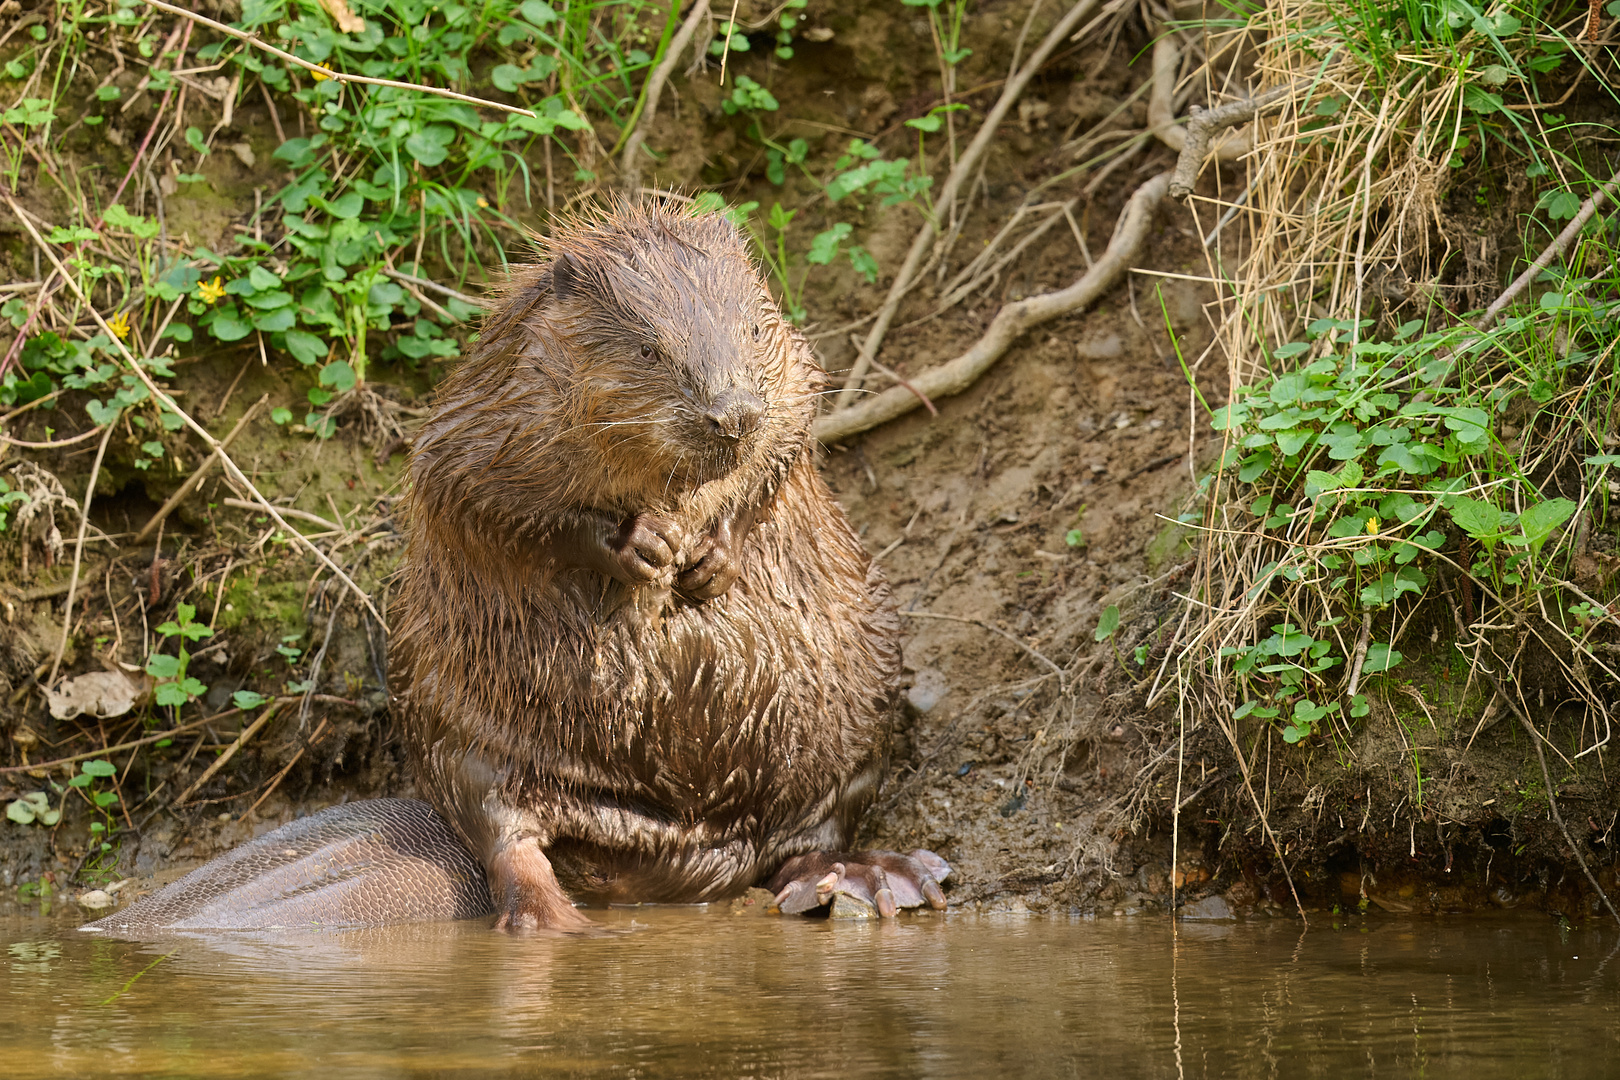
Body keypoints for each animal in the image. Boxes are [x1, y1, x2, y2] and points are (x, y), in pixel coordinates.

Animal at [393, 202, 946, 932]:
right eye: (649, 348)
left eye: (751, 328)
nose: (732, 415)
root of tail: (690, 854)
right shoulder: (489, 410)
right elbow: (473, 492)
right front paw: (646, 547)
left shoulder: (791, 368)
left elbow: (792, 429)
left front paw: (710, 558)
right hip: (452, 720)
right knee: (502, 826)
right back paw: (547, 918)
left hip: (862, 702)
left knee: (817, 829)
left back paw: (872, 878)